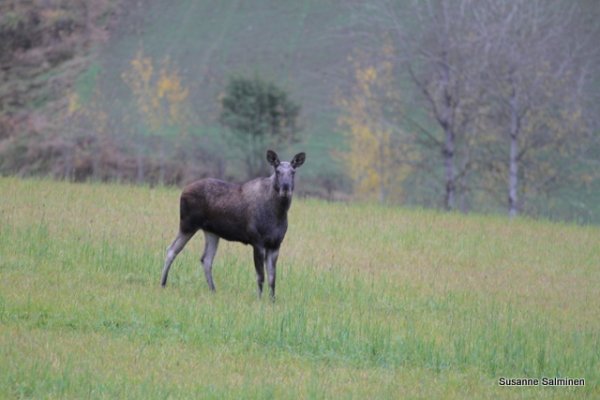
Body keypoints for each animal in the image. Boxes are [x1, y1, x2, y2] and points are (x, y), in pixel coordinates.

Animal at [161, 151, 304, 300]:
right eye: (277, 171)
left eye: (293, 172)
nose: (285, 188)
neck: (278, 213)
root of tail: (183, 191)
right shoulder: (257, 241)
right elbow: (260, 276)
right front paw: (259, 299)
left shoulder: (275, 244)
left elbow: (272, 278)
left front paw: (272, 301)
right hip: (187, 224)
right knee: (171, 250)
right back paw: (163, 284)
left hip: (211, 232)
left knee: (206, 259)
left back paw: (213, 290)